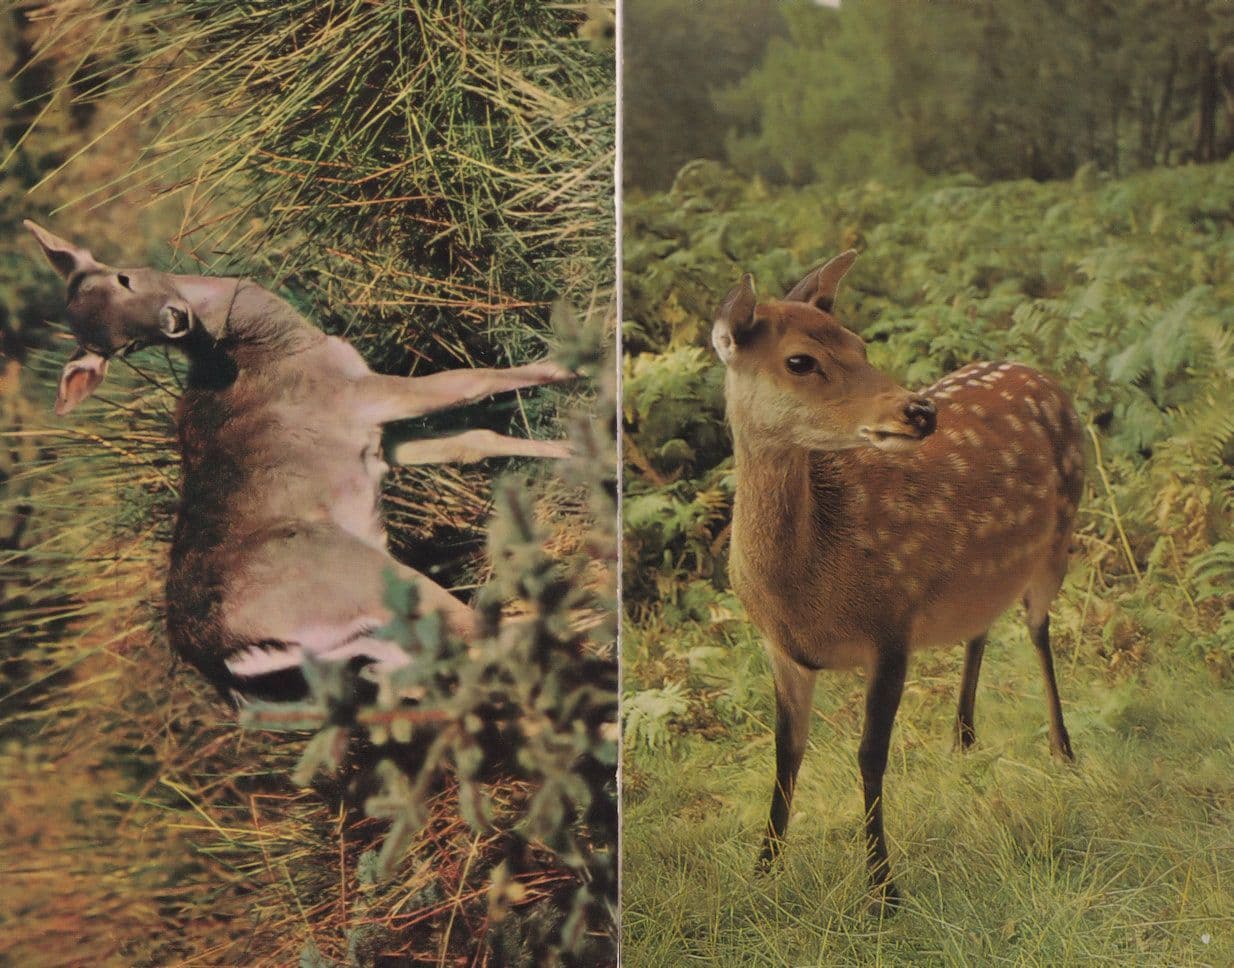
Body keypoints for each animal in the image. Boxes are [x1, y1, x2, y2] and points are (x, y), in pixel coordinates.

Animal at [26, 220, 575, 703]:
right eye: (126, 346)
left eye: (123, 278)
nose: (173, 319)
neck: (265, 343)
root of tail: (229, 661)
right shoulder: (357, 394)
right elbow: (474, 380)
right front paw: (572, 363)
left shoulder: (375, 442)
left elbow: (471, 440)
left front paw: (570, 451)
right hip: (365, 583)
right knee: (478, 632)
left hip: (371, 648)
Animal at [712, 250, 1084, 909]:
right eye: (799, 360)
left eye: (859, 344)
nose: (920, 411)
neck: (805, 589)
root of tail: (1043, 375)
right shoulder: (781, 650)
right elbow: (785, 755)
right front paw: (762, 873)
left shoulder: (890, 623)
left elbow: (869, 754)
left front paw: (883, 888)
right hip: (983, 572)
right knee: (982, 626)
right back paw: (962, 738)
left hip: (1061, 532)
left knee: (1039, 630)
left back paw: (1062, 750)